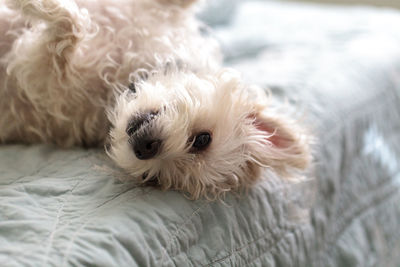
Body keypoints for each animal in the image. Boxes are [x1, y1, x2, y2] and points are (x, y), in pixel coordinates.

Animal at [0, 0, 310, 200]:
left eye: (153, 179)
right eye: (203, 139)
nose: (145, 148)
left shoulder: (39, 77)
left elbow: (69, 27)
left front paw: (33, 6)